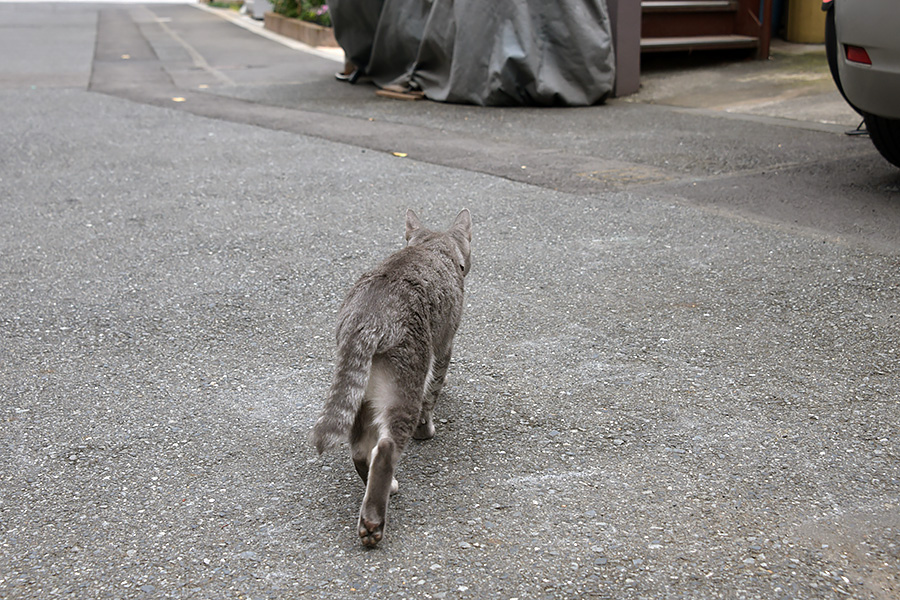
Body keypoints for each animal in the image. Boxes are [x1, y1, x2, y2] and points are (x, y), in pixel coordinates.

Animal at [312, 209, 472, 548]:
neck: (430, 247)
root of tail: (366, 318)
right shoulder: (443, 345)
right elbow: (433, 389)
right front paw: (427, 429)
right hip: (404, 380)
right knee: (385, 447)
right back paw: (373, 523)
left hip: (361, 390)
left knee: (361, 449)